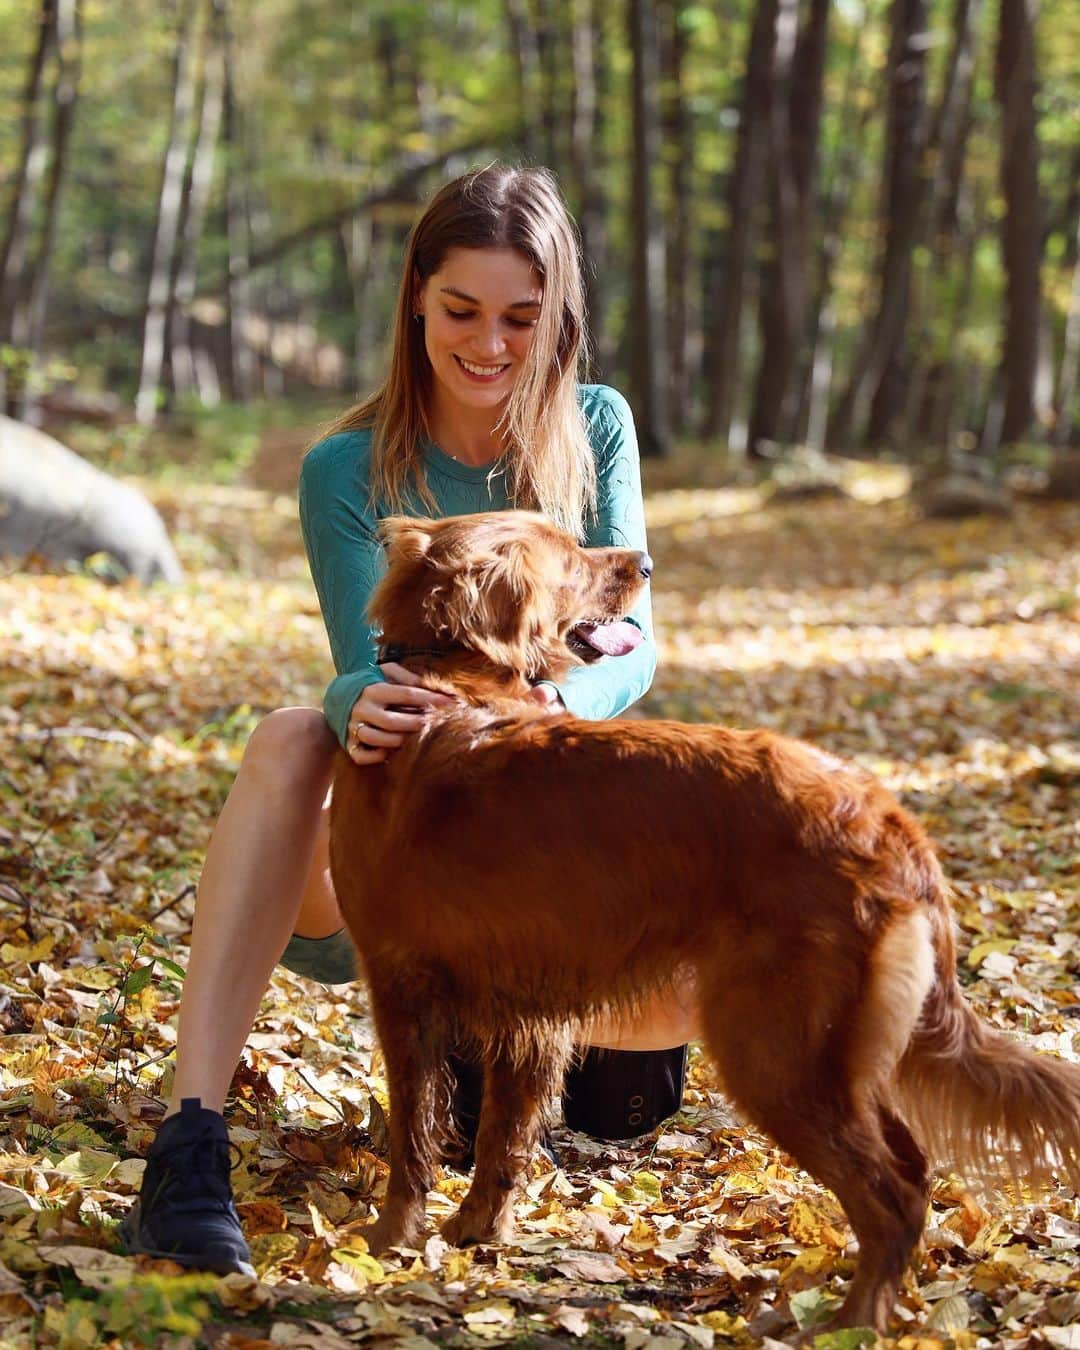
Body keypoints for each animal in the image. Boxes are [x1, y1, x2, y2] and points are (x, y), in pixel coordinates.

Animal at [329, 510, 1080, 1333]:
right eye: (571, 560)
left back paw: (848, 1322)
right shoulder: (530, 1015)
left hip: (773, 1052)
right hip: (836, 1053)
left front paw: (387, 1243)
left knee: (894, 1193)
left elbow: (412, 1134)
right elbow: (503, 1135)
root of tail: (885, 817)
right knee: (912, 1168)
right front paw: (477, 1231)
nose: (646, 563)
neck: (449, 682)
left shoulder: (399, 987)